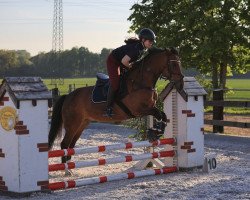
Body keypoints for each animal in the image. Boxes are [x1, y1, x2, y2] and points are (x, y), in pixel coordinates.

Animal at [48, 47, 184, 167]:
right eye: (174, 64)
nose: (181, 84)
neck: (140, 83)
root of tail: (68, 96)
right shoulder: (139, 110)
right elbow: (159, 114)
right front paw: (155, 132)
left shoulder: (150, 107)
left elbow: (163, 116)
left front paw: (155, 132)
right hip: (72, 124)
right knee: (65, 144)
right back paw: (66, 170)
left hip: (82, 123)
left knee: (71, 144)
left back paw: (70, 165)